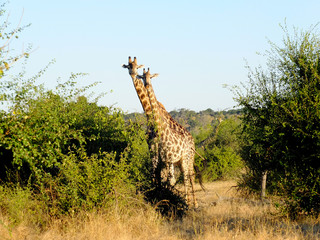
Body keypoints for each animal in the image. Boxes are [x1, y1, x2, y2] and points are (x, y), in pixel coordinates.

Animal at [138, 67, 198, 206]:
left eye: (151, 77)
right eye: (142, 77)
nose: (147, 84)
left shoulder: (167, 158)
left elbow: (169, 180)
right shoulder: (163, 159)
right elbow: (165, 180)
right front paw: (163, 199)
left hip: (186, 159)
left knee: (188, 177)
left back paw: (190, 203)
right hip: (179, 161)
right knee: (185, 177)